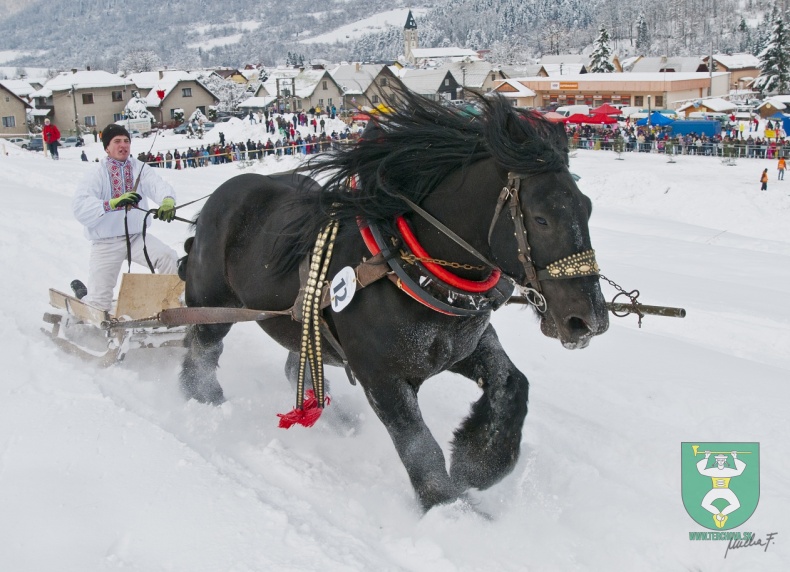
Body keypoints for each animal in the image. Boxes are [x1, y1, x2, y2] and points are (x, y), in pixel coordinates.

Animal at [181, 88, 612, 510]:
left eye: (588, 207)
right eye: (541, 218)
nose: (589, 320)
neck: (406, 268)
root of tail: (217, 199)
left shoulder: (464, 346)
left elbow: (511, 384)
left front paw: (479, 462)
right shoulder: (380, 378)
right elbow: (419, 446)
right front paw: (448, 507)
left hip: (302, 329)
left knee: (295, 365)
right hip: (215, 305)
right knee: (202, 350)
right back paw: (200, 397)